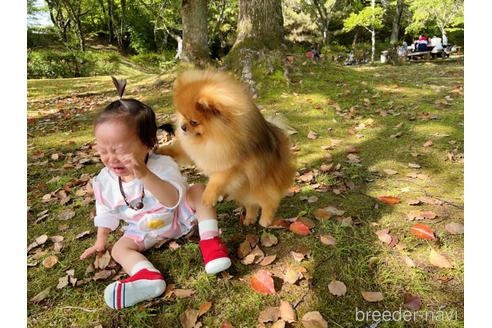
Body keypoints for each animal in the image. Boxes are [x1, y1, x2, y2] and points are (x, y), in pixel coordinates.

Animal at [158, 70, 296, 227]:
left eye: (194, 122)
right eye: (183, 116)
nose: (182, 127)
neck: (214, 137)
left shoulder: (230, 165)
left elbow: (216, 181)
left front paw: (207, 197)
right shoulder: (194, 150)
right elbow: (178, 150)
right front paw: (160, 150)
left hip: (260, 185)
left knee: (269, 201)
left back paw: (265, 220)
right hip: (244, 190)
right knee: (251, 203)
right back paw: (249, 218)